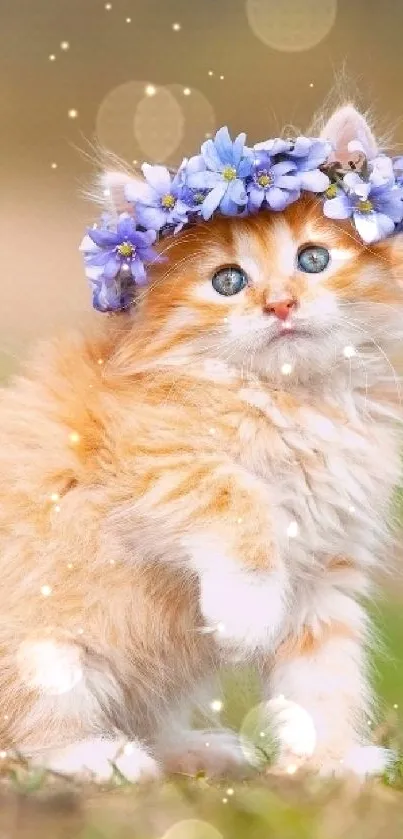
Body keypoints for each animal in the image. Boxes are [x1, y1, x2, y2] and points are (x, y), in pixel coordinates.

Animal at [0, 105, 402, 780]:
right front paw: (246, 614)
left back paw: (200, 749)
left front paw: (327, 760)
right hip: (44, 651)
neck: (297, 403)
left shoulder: (328, 569)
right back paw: (101, 757)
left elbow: (324, 672)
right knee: (27, 736)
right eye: (228, 281)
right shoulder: (142, 460)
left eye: (313, 259)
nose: (280, 305)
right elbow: (235, 496)